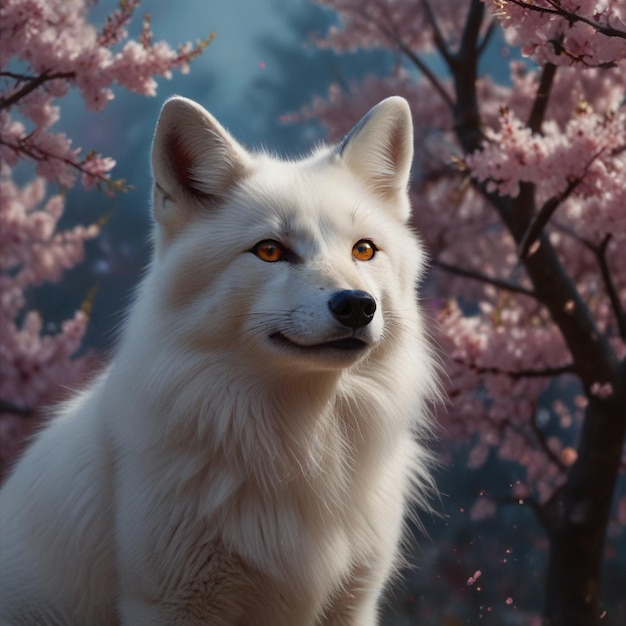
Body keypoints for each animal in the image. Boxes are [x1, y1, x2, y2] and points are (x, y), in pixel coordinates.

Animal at [0, 95, 436, 620]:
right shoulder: (168, 604)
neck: (303, 448)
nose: (356, 305)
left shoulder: (354, 604)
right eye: (269, 251)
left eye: (364, 250)